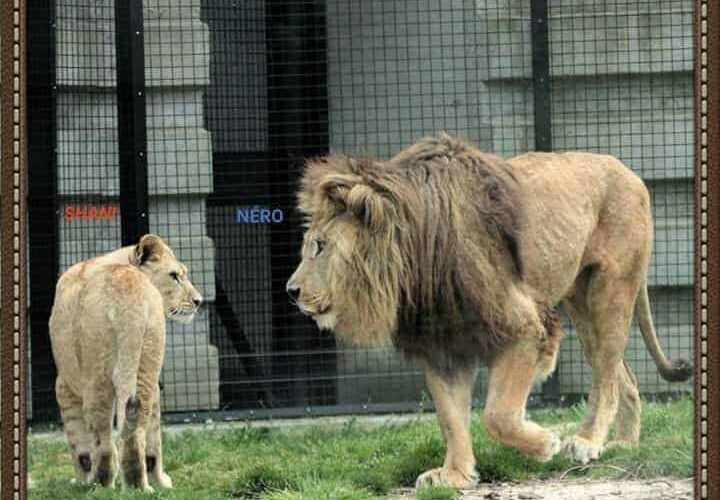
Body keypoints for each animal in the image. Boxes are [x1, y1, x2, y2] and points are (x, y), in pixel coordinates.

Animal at [48, 234, 201, 488]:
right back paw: (140, 485)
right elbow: (153, 435)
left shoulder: (64, 384)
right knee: (137, 428)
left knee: (102, 434)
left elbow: (79, 445)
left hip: (97, 370)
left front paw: (80, 481)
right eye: (174, 276)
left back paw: (101, 483)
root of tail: (128, 290)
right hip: (147, 359)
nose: (199, 301)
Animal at [286, 133, 692, 488]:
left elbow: (497, 416)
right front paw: (455, 475)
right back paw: (623, 443)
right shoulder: (441, 344)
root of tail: (626, 169)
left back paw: (586, 440)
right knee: (623, 375)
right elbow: (451, 418)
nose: (291, 291)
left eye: (320, 246)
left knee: (606, 373)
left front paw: (544, 443)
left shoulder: (524, 328)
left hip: (611, 288)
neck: (416, 264)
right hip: (580, 299)